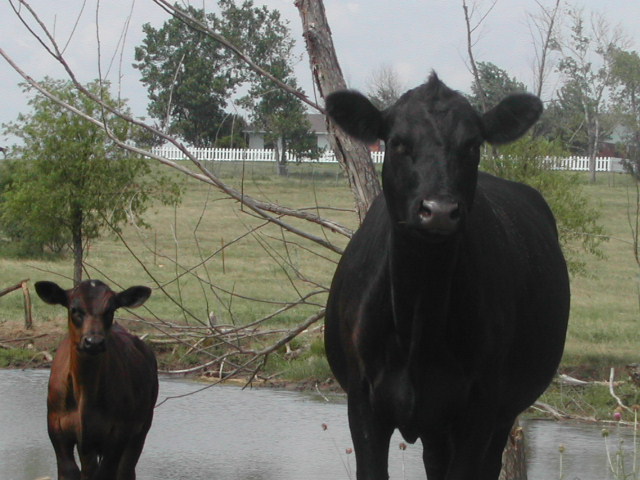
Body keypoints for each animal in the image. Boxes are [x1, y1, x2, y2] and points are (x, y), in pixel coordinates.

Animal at [36, 280, 159, 478]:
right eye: (74, 309)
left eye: (110, 309)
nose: (93, 342)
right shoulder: (58, 431)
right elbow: (71, 471)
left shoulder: (118, 434)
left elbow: (106, 472)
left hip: (142, 428)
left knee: (126, 469)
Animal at [324, 72, 568, 480]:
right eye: (397, 142)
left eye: (472, 144)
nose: (438, 209)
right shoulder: (363, 403)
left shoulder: (481, 407)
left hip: (497, 416)